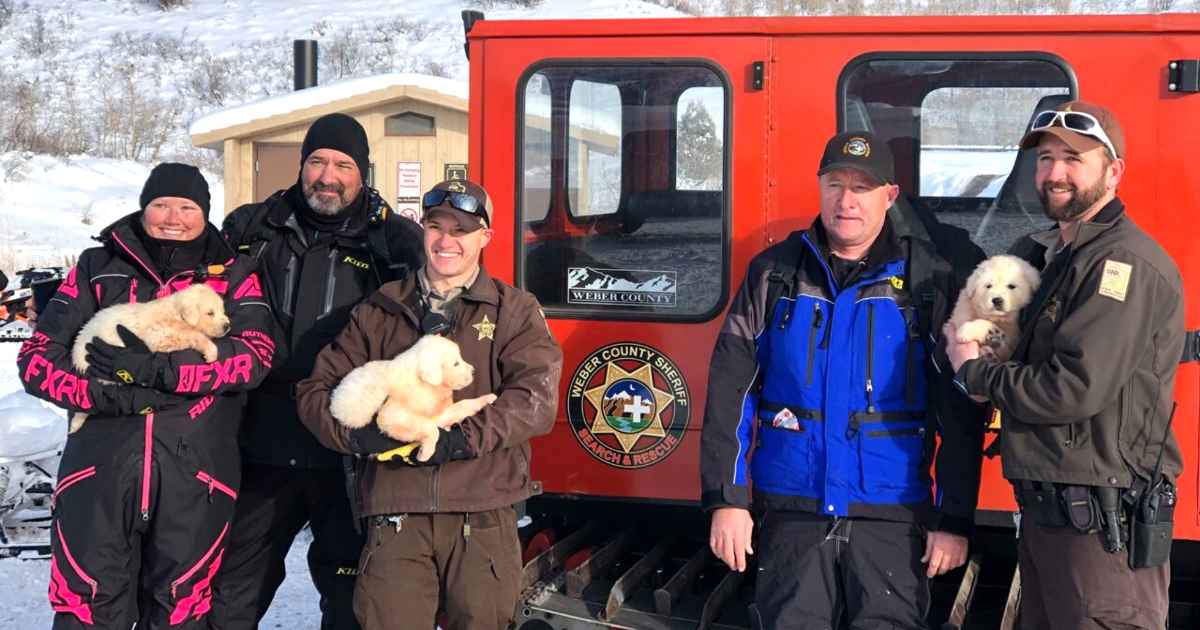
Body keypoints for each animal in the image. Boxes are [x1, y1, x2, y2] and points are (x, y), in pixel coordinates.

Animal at [69, 283, 229, 432]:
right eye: (210, 313)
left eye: (222, 311)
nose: (227, 326)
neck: (176, 312)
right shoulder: (159, 334)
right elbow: (193, 335)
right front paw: (211, 351)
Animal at [328, 333, 496, 460]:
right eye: (456, 363)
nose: (474, 371)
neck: (425, 384)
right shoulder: (392, 415)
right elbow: (431, 428)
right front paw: (425, 453)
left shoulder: (441, 413)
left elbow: (464, 405)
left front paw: (488, 398)